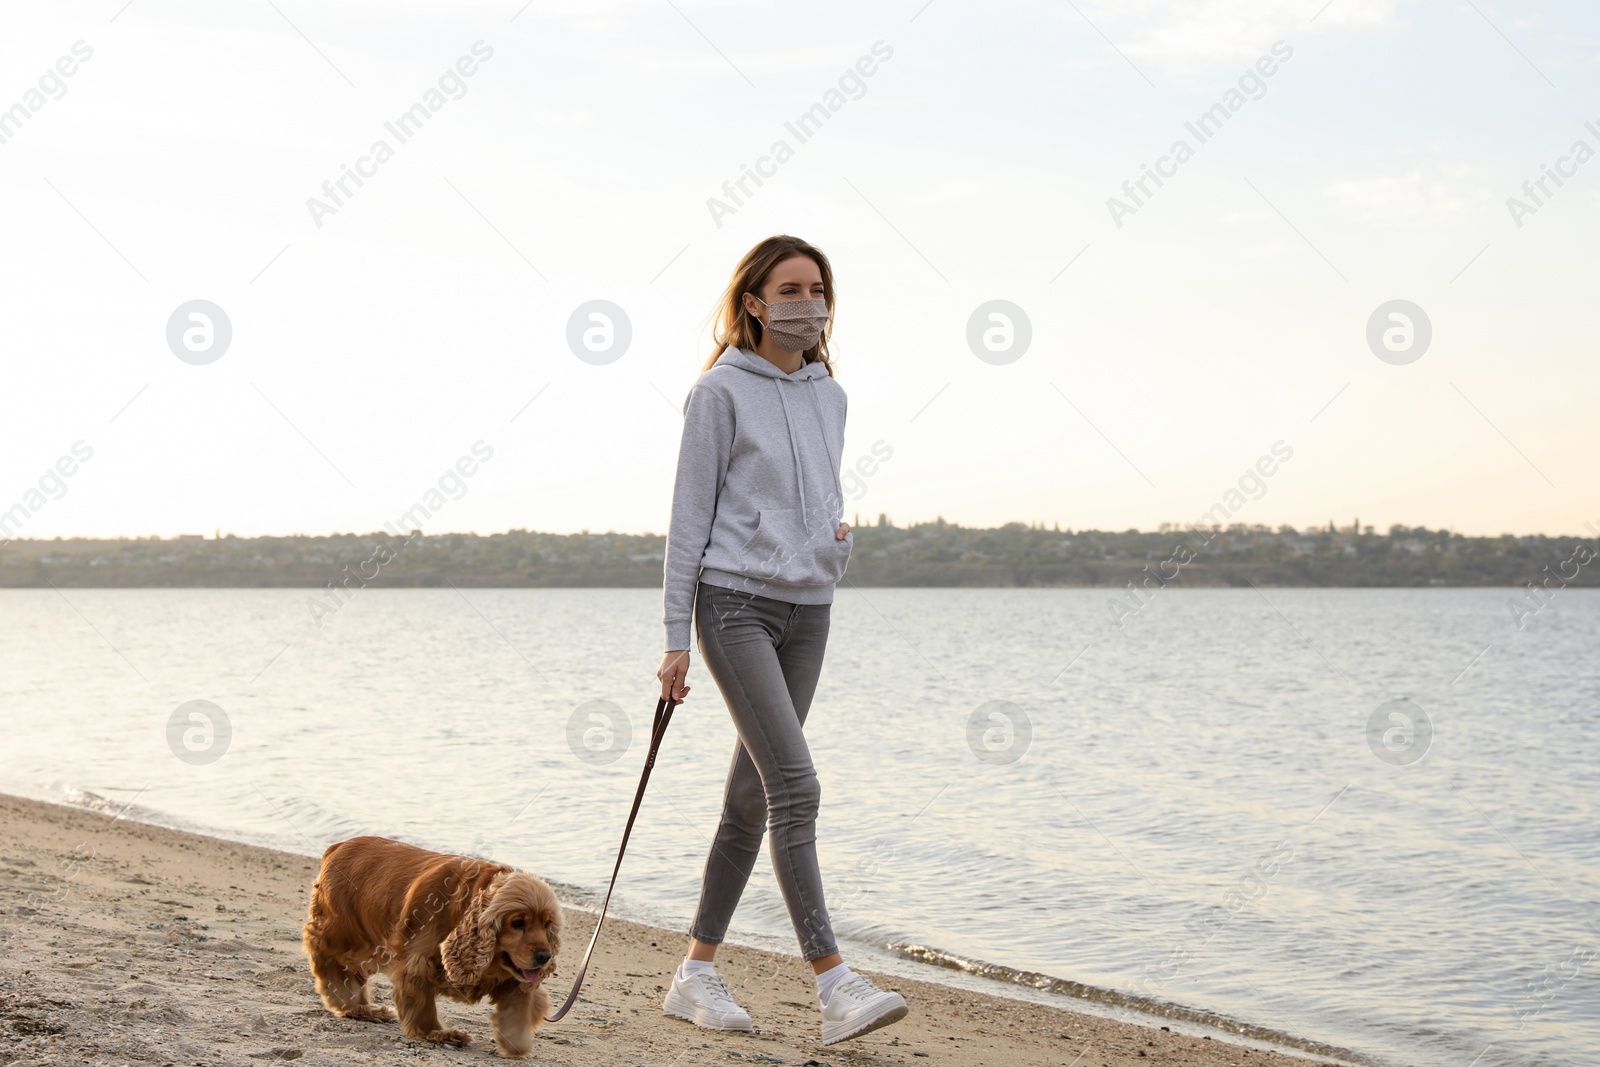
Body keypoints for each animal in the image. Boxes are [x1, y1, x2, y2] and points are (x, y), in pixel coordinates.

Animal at [300, 831, 563, 1062]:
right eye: (517, 923)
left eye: (547, 923)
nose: (545, 956)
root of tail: (337, 846)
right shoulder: (417, 964)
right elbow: (422, 1006)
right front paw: (438, 1033)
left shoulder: (514, 978)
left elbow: (518, 1010)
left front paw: (516, 1043)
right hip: (344, 933)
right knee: (328, 959)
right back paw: (350, 1002)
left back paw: (366, 1009)